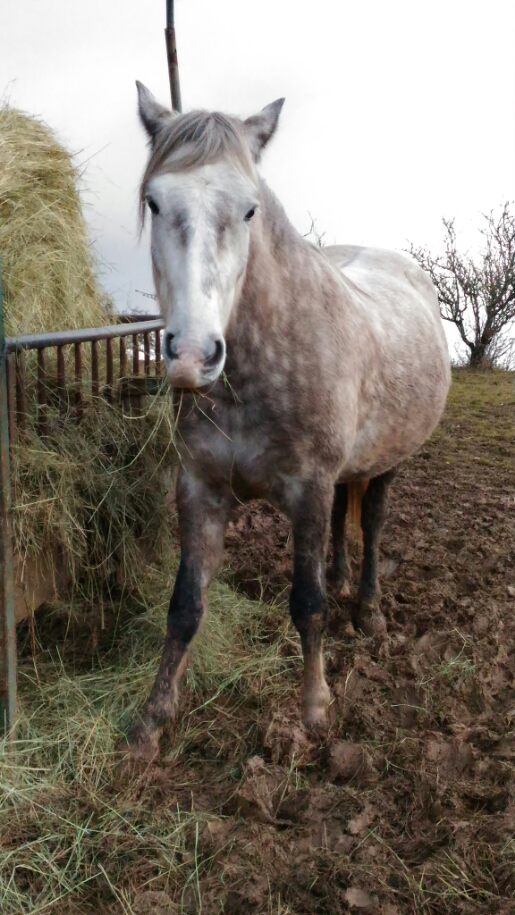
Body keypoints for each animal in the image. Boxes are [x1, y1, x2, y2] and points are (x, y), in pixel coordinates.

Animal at [127, 82, 450, 764]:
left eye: (250, 210)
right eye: (154, 201)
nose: (193, 356)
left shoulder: (307, 488)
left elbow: (308, 606)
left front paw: (316, 711)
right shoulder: (200, 489)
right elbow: (185, 606)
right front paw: (151, 721)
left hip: (390, 460)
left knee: (371, 523)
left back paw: (369, 610)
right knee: (343, 522)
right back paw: (342, 576)